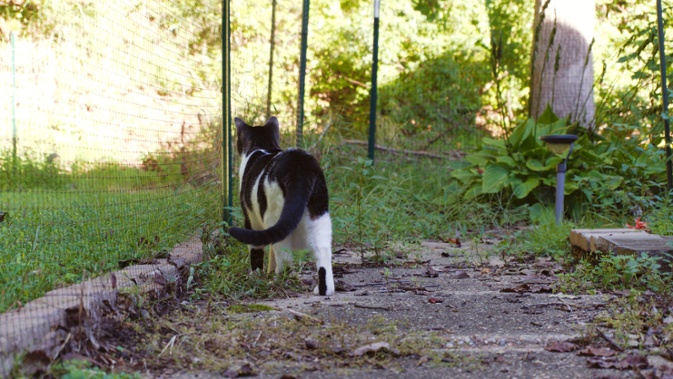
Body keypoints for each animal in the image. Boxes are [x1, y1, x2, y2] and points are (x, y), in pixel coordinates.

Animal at [227, 116, 334, 296]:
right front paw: (269, 272)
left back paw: (278, 282)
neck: (263, 146)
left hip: (274, 214)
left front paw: (257, 277)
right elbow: (270, 250)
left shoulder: (252, 219)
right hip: (319, 216)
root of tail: (298, 166)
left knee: (284, 257)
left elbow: (257, 251)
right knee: (323, 252)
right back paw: (323, 289)